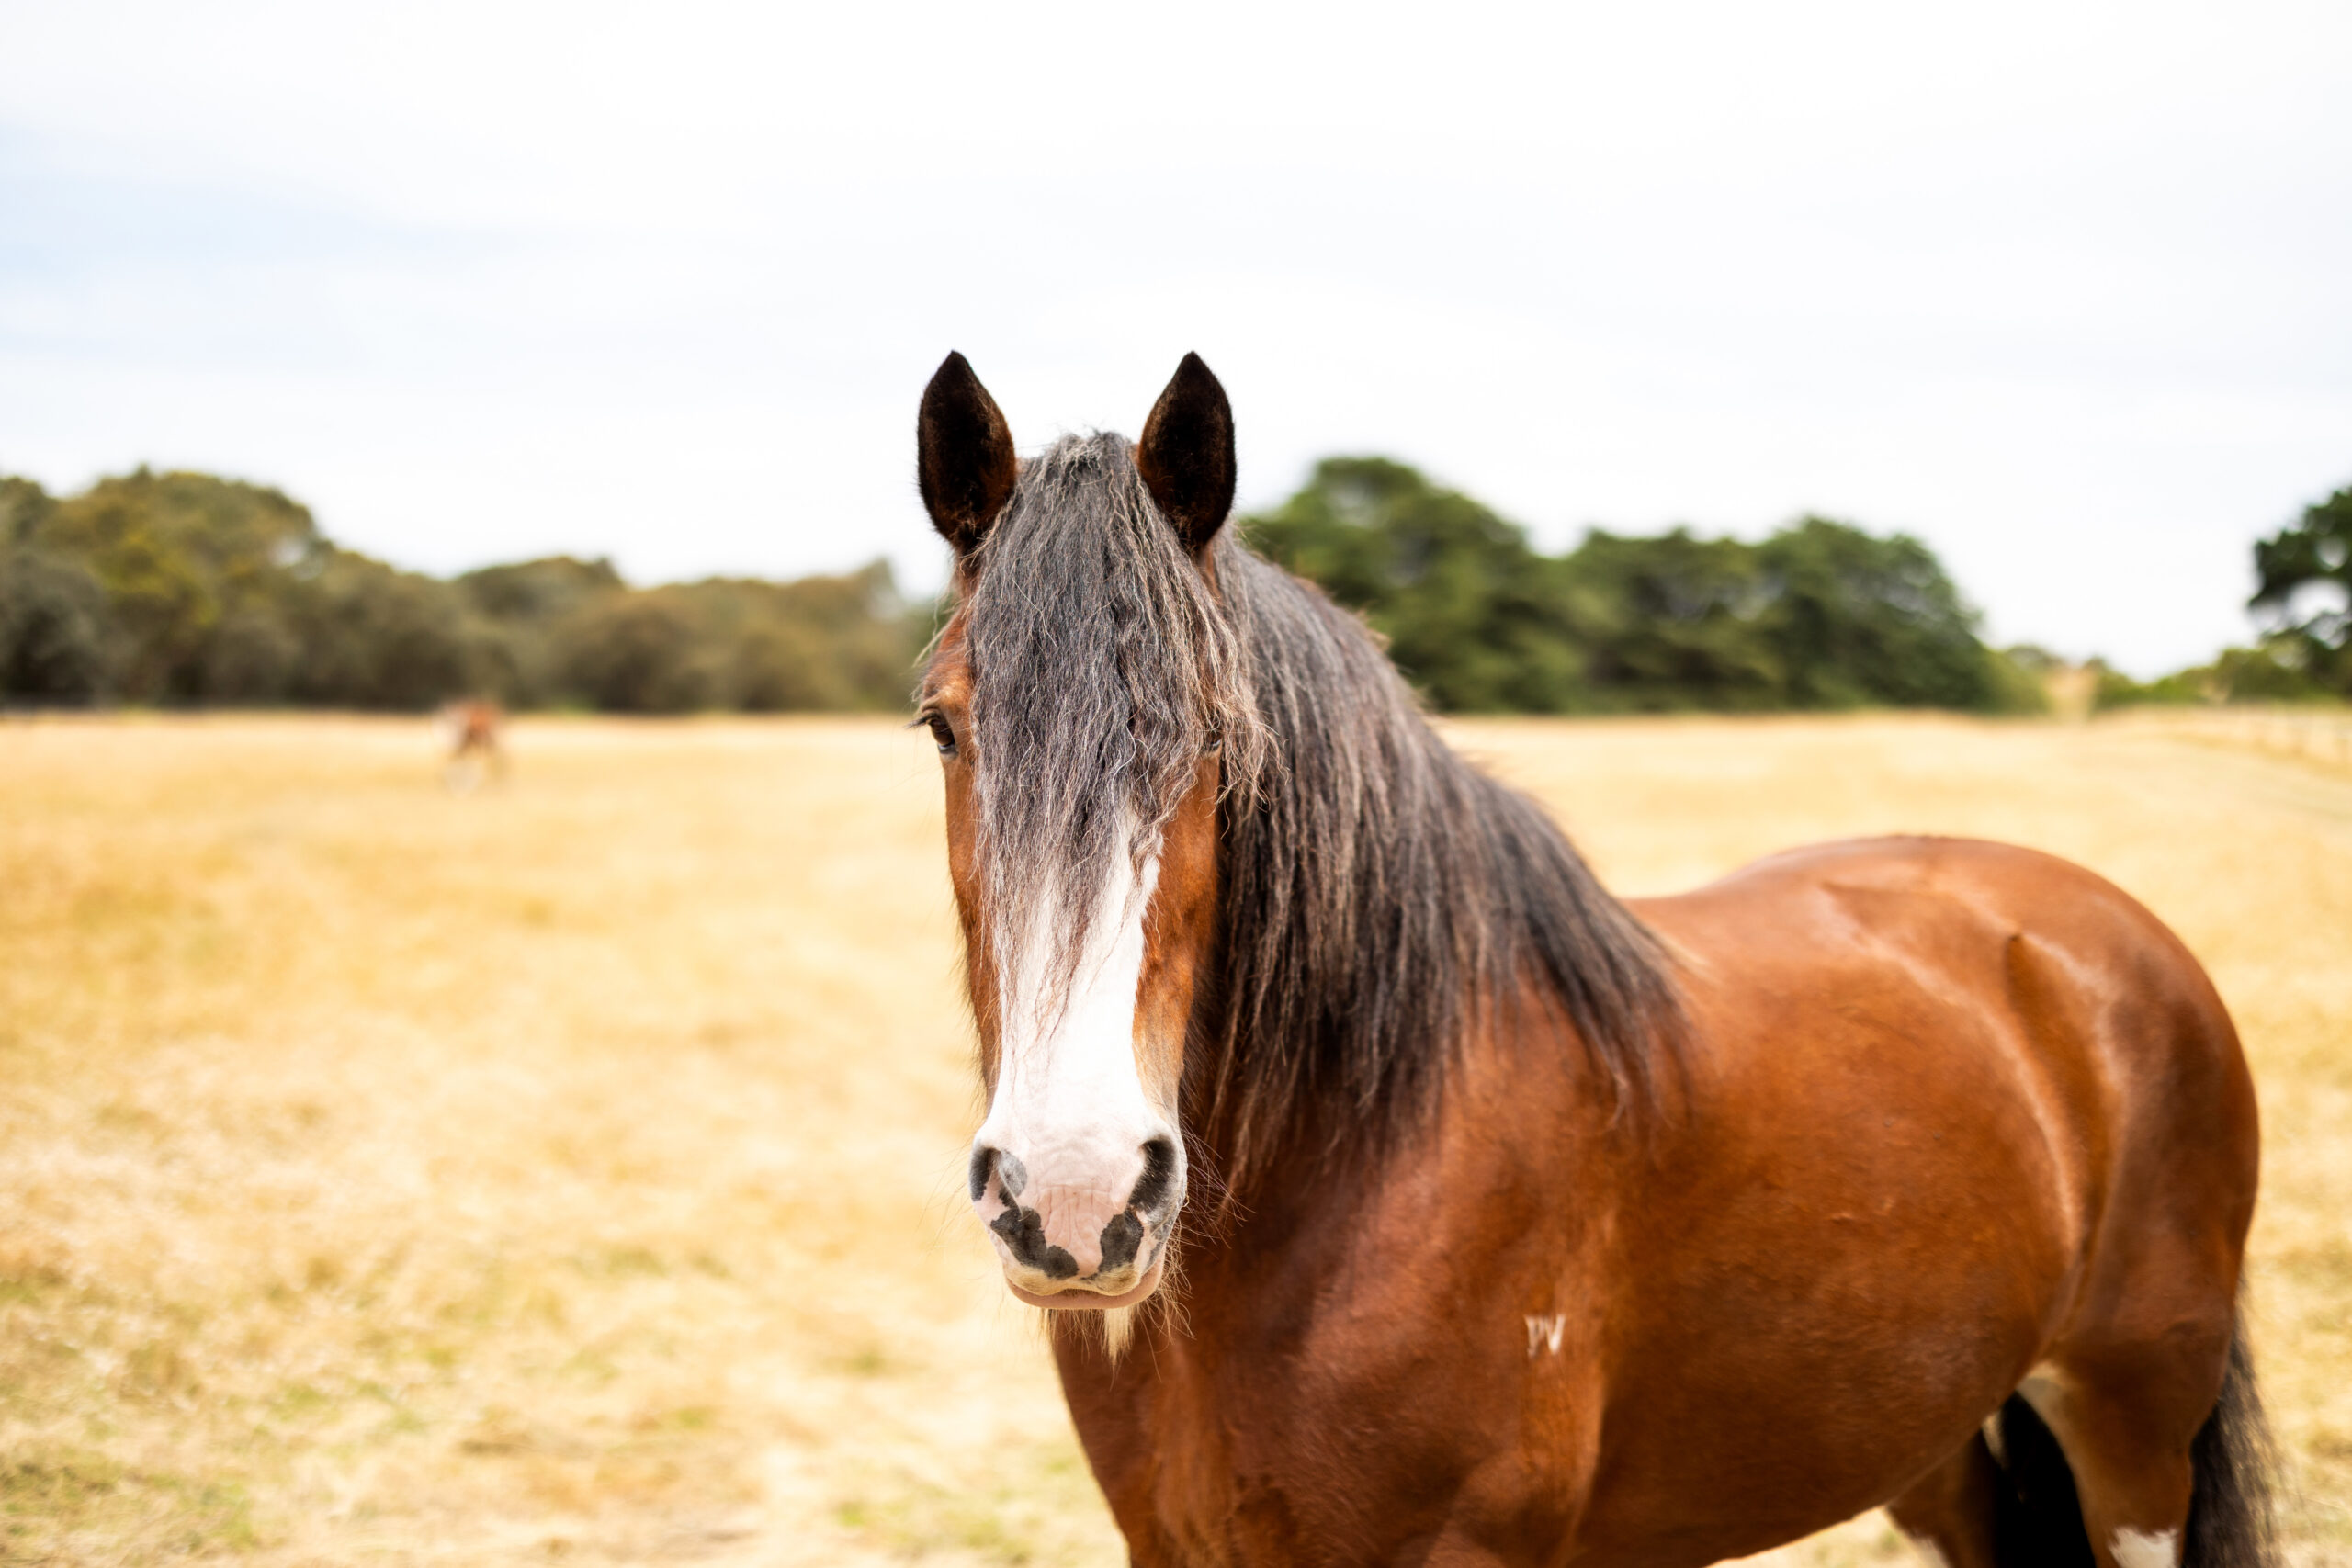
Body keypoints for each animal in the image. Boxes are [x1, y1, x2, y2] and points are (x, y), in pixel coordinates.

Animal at [908, 352, 2267, 1568]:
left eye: (1211, 735)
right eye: (941, 728)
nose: (1073, 1197)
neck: (1372, 1143)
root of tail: (2107, 933)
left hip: (2136, 1432)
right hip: (1932, 1440)